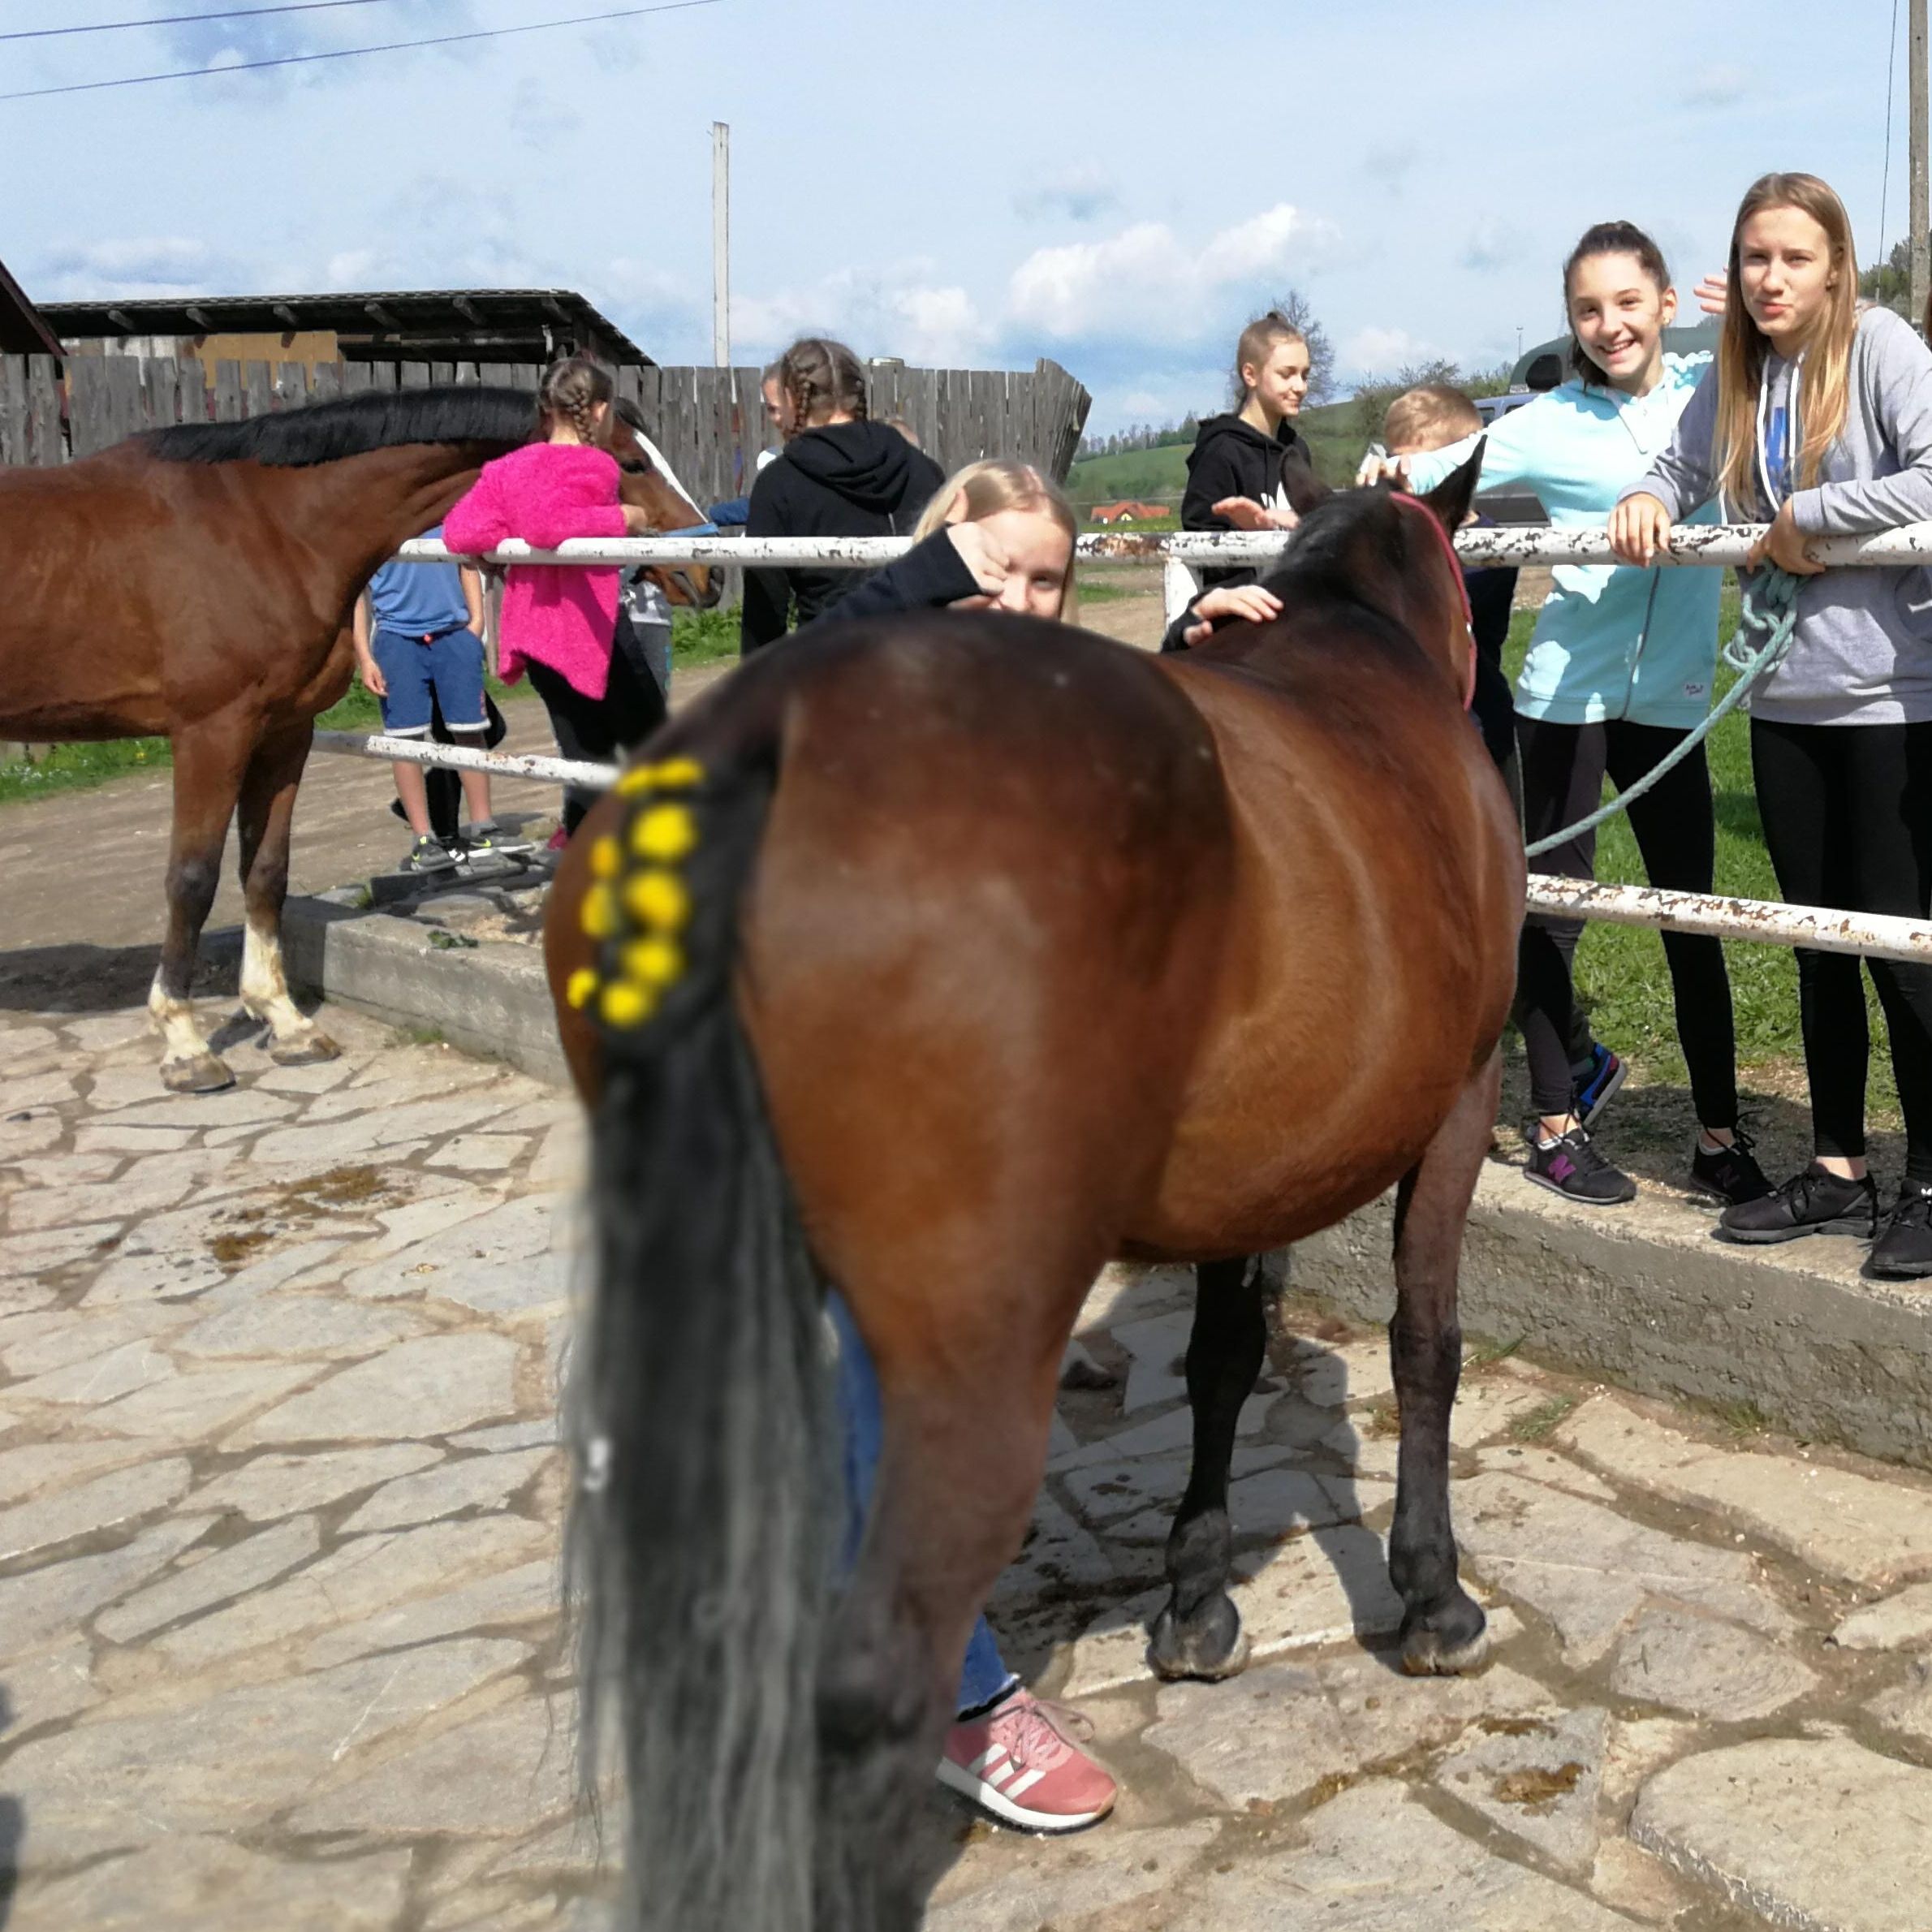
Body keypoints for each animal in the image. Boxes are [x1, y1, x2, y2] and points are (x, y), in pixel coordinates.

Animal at [0, 384, 718, 1097]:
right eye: (628, 463)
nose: (705, 572)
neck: (268, 528)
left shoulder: (283, 732)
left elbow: (266, 872)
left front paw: (285, 1021)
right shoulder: (212, 732)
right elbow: (193, 879)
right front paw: (186, 1044)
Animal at [541, 451, 1507, 1932]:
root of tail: (763, 739)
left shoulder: (1250, 1174)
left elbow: (1222, 1363)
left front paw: (1195, 1602)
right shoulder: (1462, 1105)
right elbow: (1425, 1344)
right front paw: (1433, 1597)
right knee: (869, 1677)